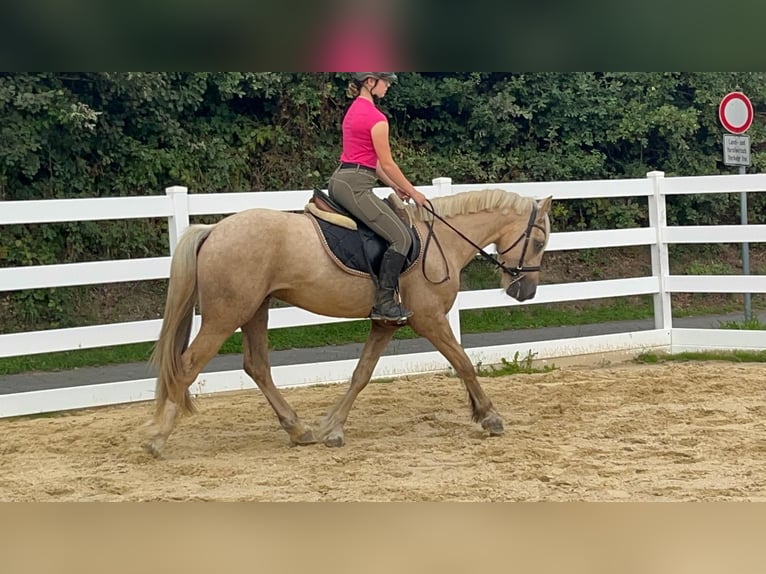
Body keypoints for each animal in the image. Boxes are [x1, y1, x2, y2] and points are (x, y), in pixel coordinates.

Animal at [143, 188, 552, 456]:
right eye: (538, 242)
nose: (526, 291)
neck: (440, 243)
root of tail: (214, 230)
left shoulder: (386, 323)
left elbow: (361, 374)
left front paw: (332, 428)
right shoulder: (431, 320)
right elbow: (464, 362)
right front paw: (490, 417)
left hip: (255, 310)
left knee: (257, 367)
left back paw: (299, 429)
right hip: (226, 315)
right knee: (187, 365)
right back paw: (158, 437)